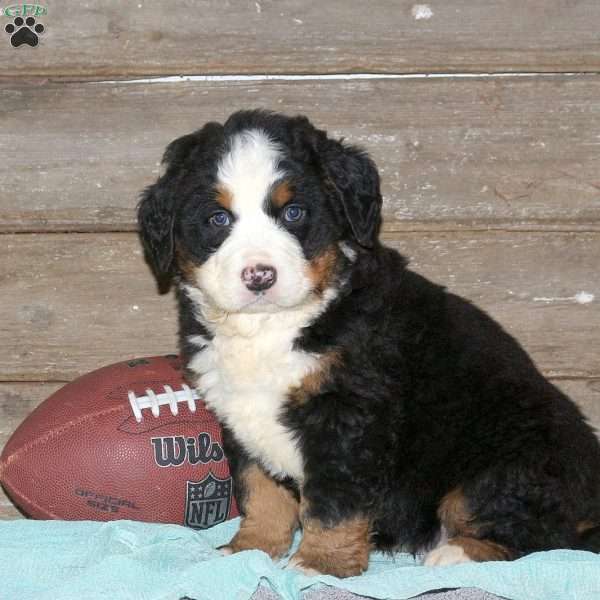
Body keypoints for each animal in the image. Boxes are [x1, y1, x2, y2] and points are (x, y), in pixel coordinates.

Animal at [137, 110, 600, 580]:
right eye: (218, 219)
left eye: (294, 212)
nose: (259, 275)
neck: (272, 326)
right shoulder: (238, 413)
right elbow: (260, 489)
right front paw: (251, 549)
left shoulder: (349, 413)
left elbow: (334, 502)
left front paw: (320, 563)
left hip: (508, 456)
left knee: (543, 533)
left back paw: (457, 553)